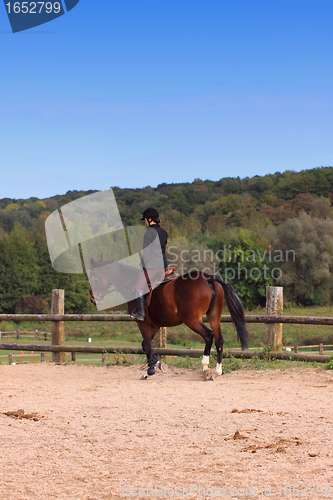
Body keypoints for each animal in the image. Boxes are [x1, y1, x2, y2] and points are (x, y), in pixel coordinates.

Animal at [88, 260, 246, 380]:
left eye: (94, 278)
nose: (92, 298)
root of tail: (207, 278)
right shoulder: (155, 325)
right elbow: (145, 345)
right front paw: (156, 365)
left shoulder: (143, 323)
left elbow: (147, 345)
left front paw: (150, 370)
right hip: (214, 317)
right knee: (219, 340)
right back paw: (216, 372)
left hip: (192, 320)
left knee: (209, 336)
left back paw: (206, 367)